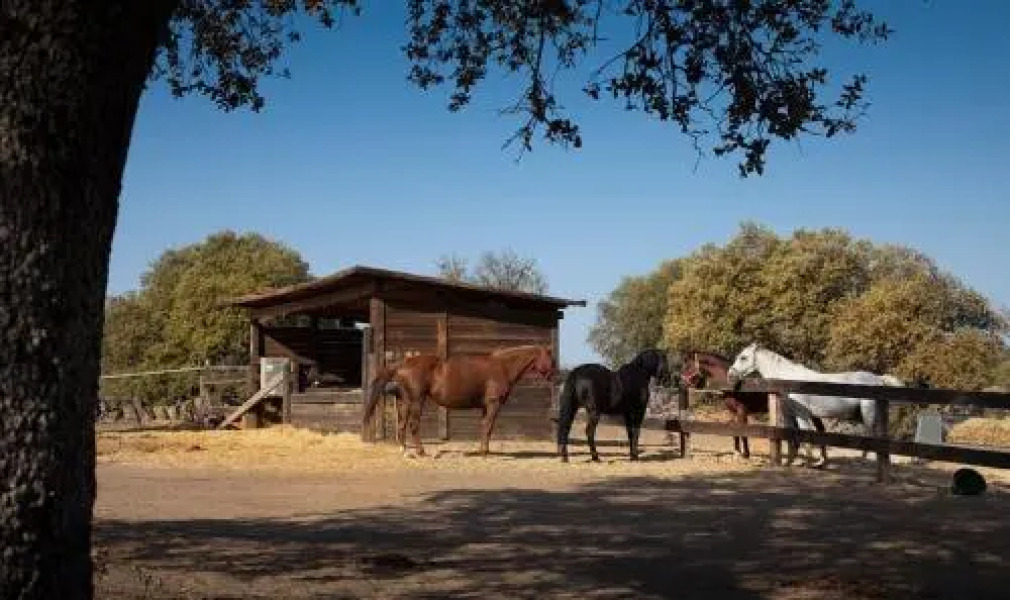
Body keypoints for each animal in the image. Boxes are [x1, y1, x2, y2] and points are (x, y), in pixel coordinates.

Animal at [362, 344, 556, 458]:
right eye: (551, 360)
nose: (555, 376)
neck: (502, 367)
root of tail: (402, 363)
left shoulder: (485, 406)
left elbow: (484, 427)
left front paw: (481, 451)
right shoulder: (493, 404)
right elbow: (489, 427)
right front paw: (485, 453)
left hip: (405, 401)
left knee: (401, 425)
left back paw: (404, 451)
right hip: (417, 400)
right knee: (413, 425)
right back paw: (421, 452)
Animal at [678, 350, 828, 460]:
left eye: (689, 366)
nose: (681, 383)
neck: (734, 386)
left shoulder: (742, 411)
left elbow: (744, 432)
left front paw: (746, 454)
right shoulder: (732, 412)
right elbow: (735, 433)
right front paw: (737, 452)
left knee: (820, 429)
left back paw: (821, 459)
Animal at [726, 342, 905, 468]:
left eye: (743, 357)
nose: (730, 374)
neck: (789, 381)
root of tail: (877, 379)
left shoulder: (802, 415)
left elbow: (805, 436)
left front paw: (809, 463)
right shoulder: (789, 415)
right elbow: (791, 438)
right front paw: (789, 462)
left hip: (867, 415)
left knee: (872, 438)